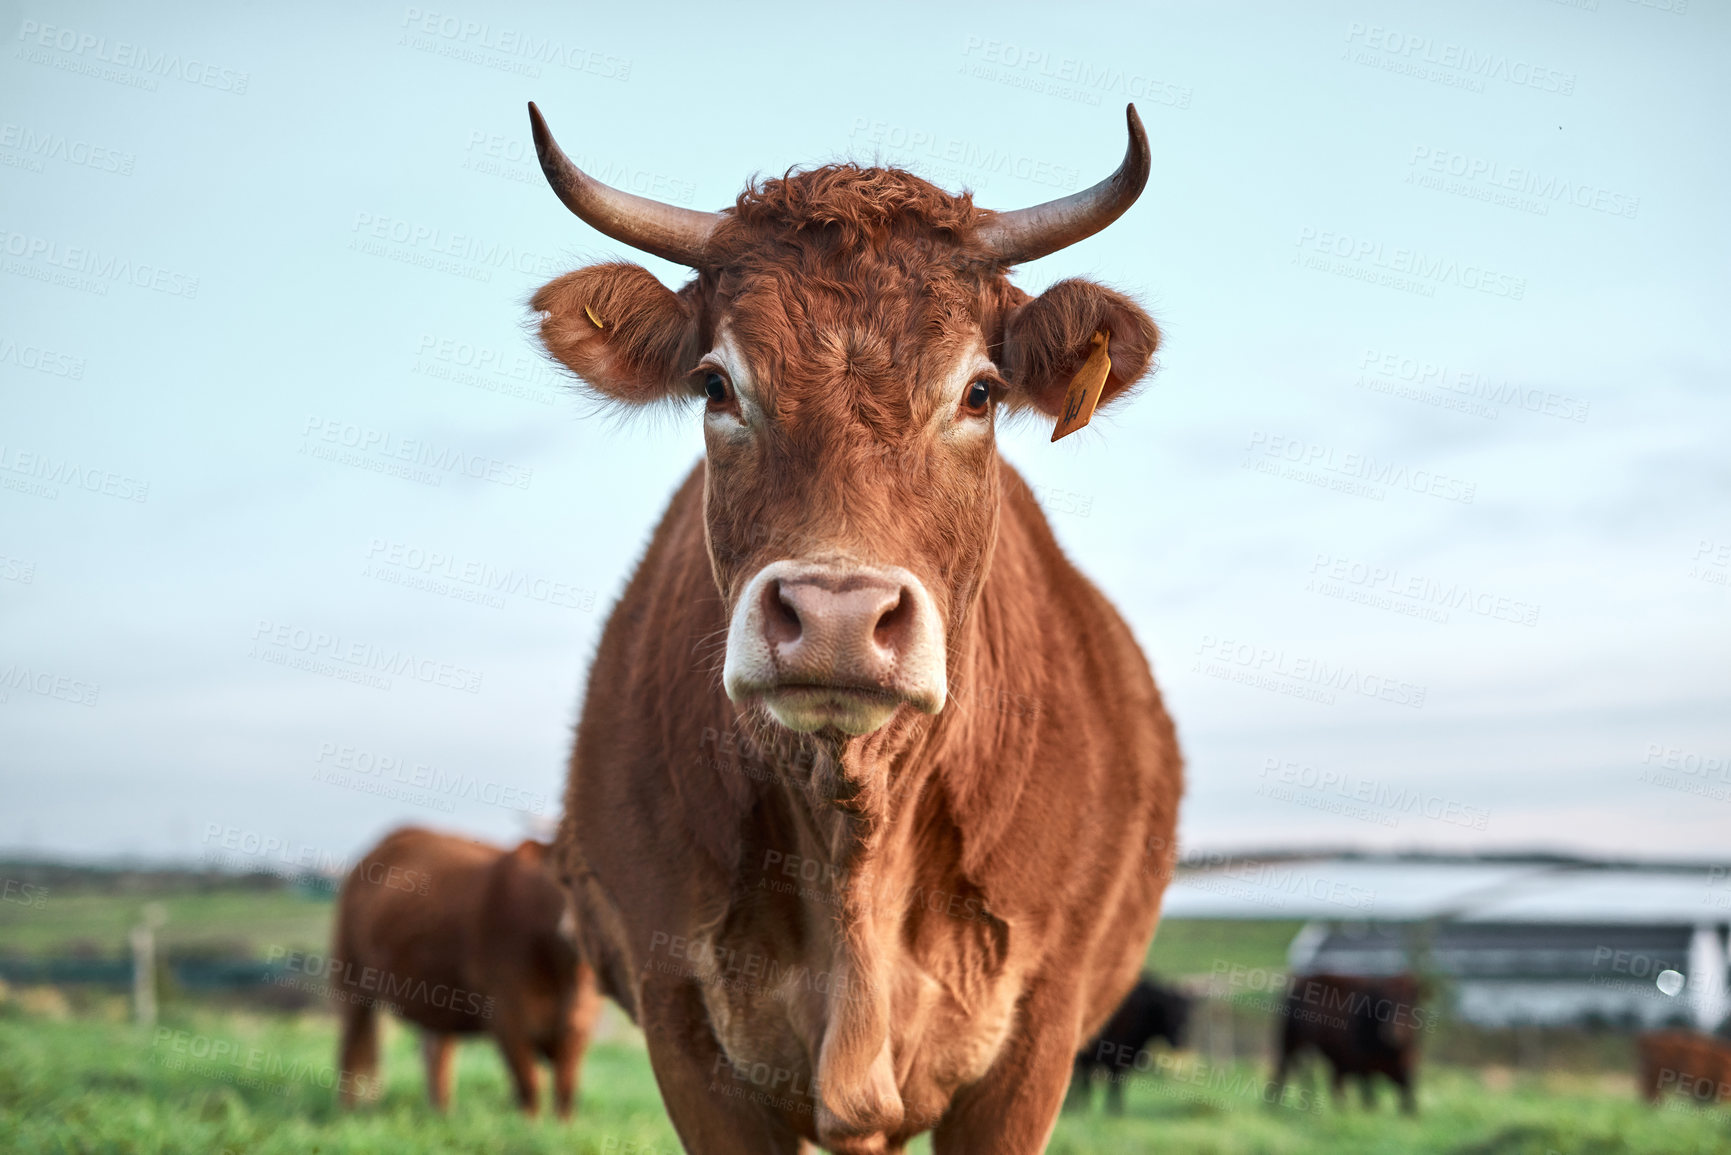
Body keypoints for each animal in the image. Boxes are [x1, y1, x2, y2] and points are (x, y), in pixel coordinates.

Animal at [330, 831, 602, 1122]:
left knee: (434, 1055)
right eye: (561, 876)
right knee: (352, 1050)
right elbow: (529, 1086)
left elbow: (565, 1089)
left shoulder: (580, 1027)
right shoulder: (505, 1016)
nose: (578, 930)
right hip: (352, 982)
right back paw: (347, 1114)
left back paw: (440, 1115)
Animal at [1066, 976, 1190, 1108]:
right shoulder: (1115, 1054)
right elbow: (1114, 1082)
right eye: (1167, 1013)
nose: (1181, 1036)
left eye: (1184, 1014)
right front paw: (1114, 1107)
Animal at [1274, 969, 1419, 1115]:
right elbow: (1368, 1094)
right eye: (1384, 1004)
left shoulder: (1406, 1068)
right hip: (1291, 1045)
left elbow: (1408, 1095)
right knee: (1285, 1070)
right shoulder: (1363, 1067)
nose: (1392, 1034)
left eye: (1409, 1002)